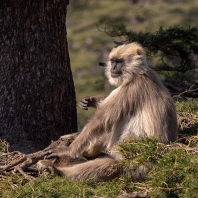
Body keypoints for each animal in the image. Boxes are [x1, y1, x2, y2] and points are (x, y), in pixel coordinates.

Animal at [37, 43, 178, 181]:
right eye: (113, 61)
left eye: (119, 62)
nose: (113, 68)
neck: (139, 73)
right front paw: (92, 100)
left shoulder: (132, 87)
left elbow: (101, 120)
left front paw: (67, 150)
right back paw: (86, 150)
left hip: (133, 156)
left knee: (113, 161)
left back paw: (58, 172)